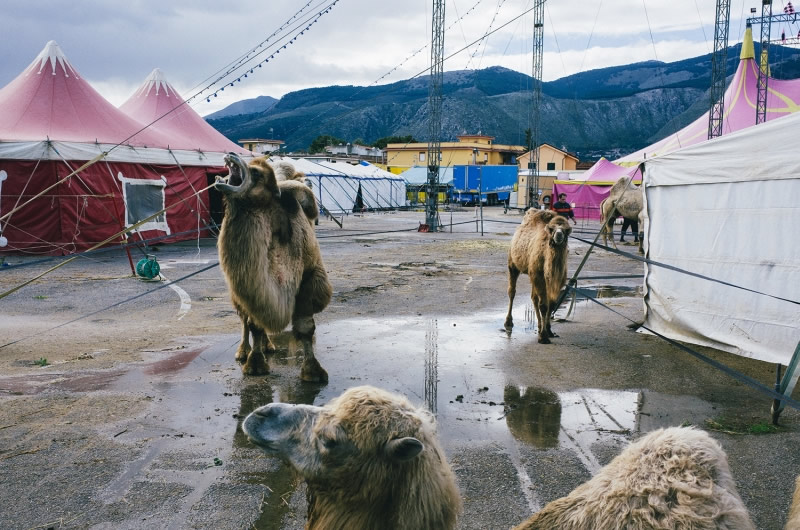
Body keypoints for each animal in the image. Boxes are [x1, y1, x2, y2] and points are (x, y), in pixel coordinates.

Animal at [212, 153, 332, 380]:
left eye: (256, 173)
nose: (231, 155)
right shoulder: (249, 288)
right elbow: (254, 324)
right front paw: (255, 364)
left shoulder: (309, 279)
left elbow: (305, 328)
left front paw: (313, 372)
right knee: (244, 319)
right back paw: (244, 351)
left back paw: (267, 346)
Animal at [506, 208, 568, 344]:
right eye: (552, 229)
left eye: (567, 230)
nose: (559, 235)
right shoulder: (538, 276)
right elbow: (544, 306)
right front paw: (543, 337)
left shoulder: (557, 280)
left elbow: (552, 303)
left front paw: (548, 330)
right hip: (513, 264)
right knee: (512, 292)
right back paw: (508, 322)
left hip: (532, 274)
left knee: (534, 297)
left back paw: (539, 326)